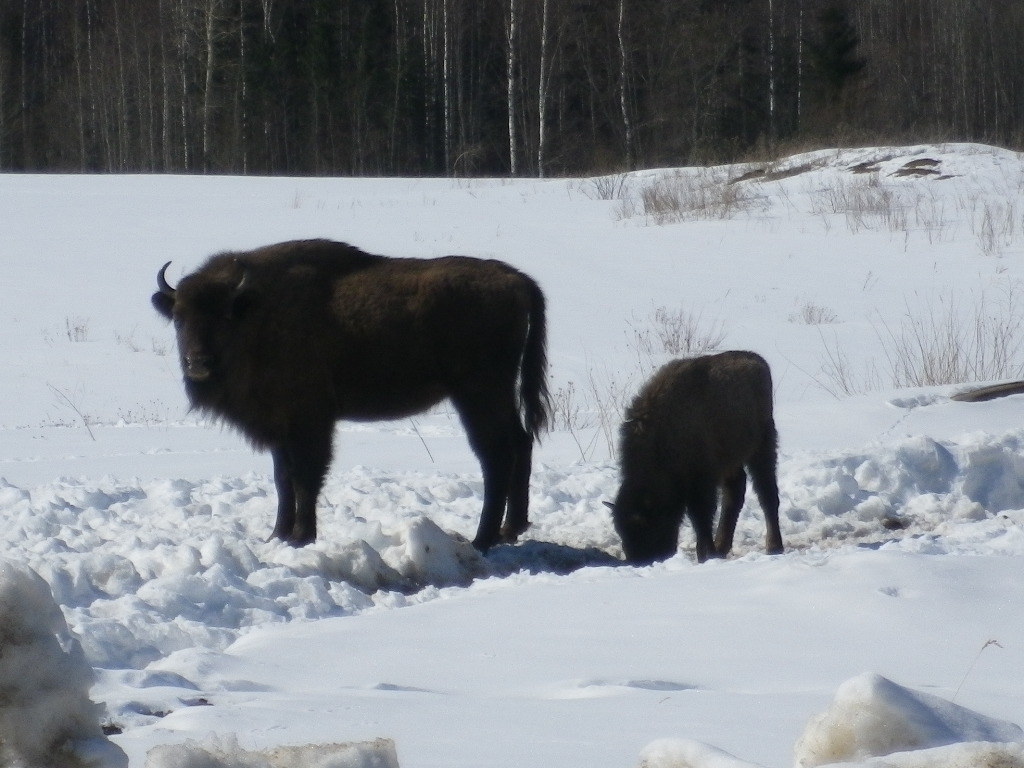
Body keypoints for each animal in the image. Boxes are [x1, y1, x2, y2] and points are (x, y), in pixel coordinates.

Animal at [149, 237, 552, 548]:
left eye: (224, 316)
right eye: (180, 318)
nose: (197, 362)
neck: (258, 313)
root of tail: (516, 280)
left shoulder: (310, 422)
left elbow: (305, 477)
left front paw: (302, 537)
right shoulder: (280, 426)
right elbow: (283, 479)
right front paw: (277, 536)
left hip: (478, 393)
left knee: (496, 454)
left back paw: (482, 539)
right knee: (520, 442)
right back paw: (510, 530)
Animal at [606, 352, 782, 561]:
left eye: (647, 529)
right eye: (621, 532)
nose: (639, 561)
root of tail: (759, 361)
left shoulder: (702, 481)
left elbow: (701, 518)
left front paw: (706, 554)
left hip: (762, 447)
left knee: (767, 494)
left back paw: (774, 547)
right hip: (732, 461)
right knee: (734, 493)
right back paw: (722, 547)